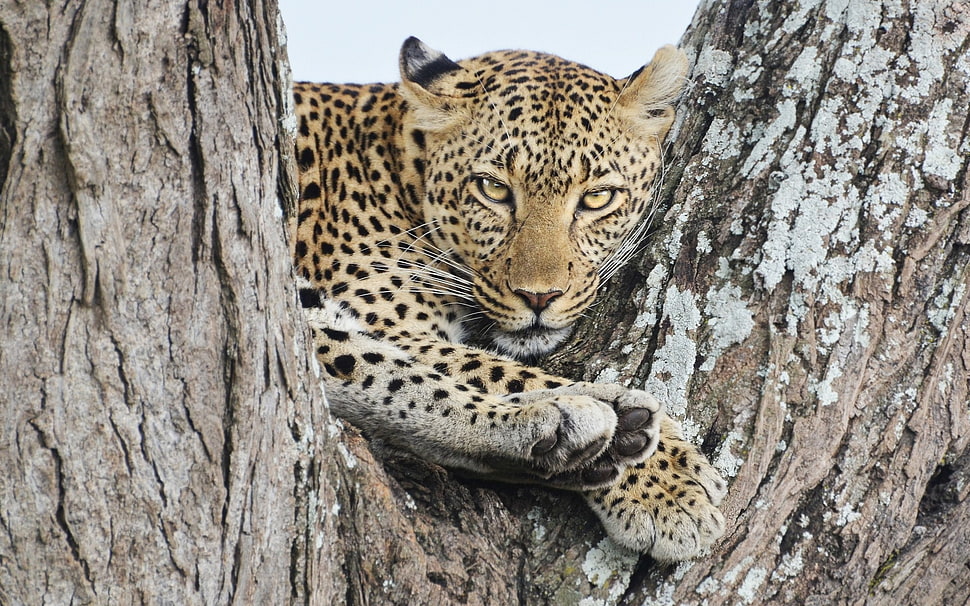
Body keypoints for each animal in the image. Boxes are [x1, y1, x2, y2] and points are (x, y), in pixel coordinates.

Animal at [290, 37, 727, 562]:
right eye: (493, 189)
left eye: (597, 198)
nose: (539, 297)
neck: (396, 164)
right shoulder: (384, 319)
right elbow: (485, 366)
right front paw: (665, 480)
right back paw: (593, 423)